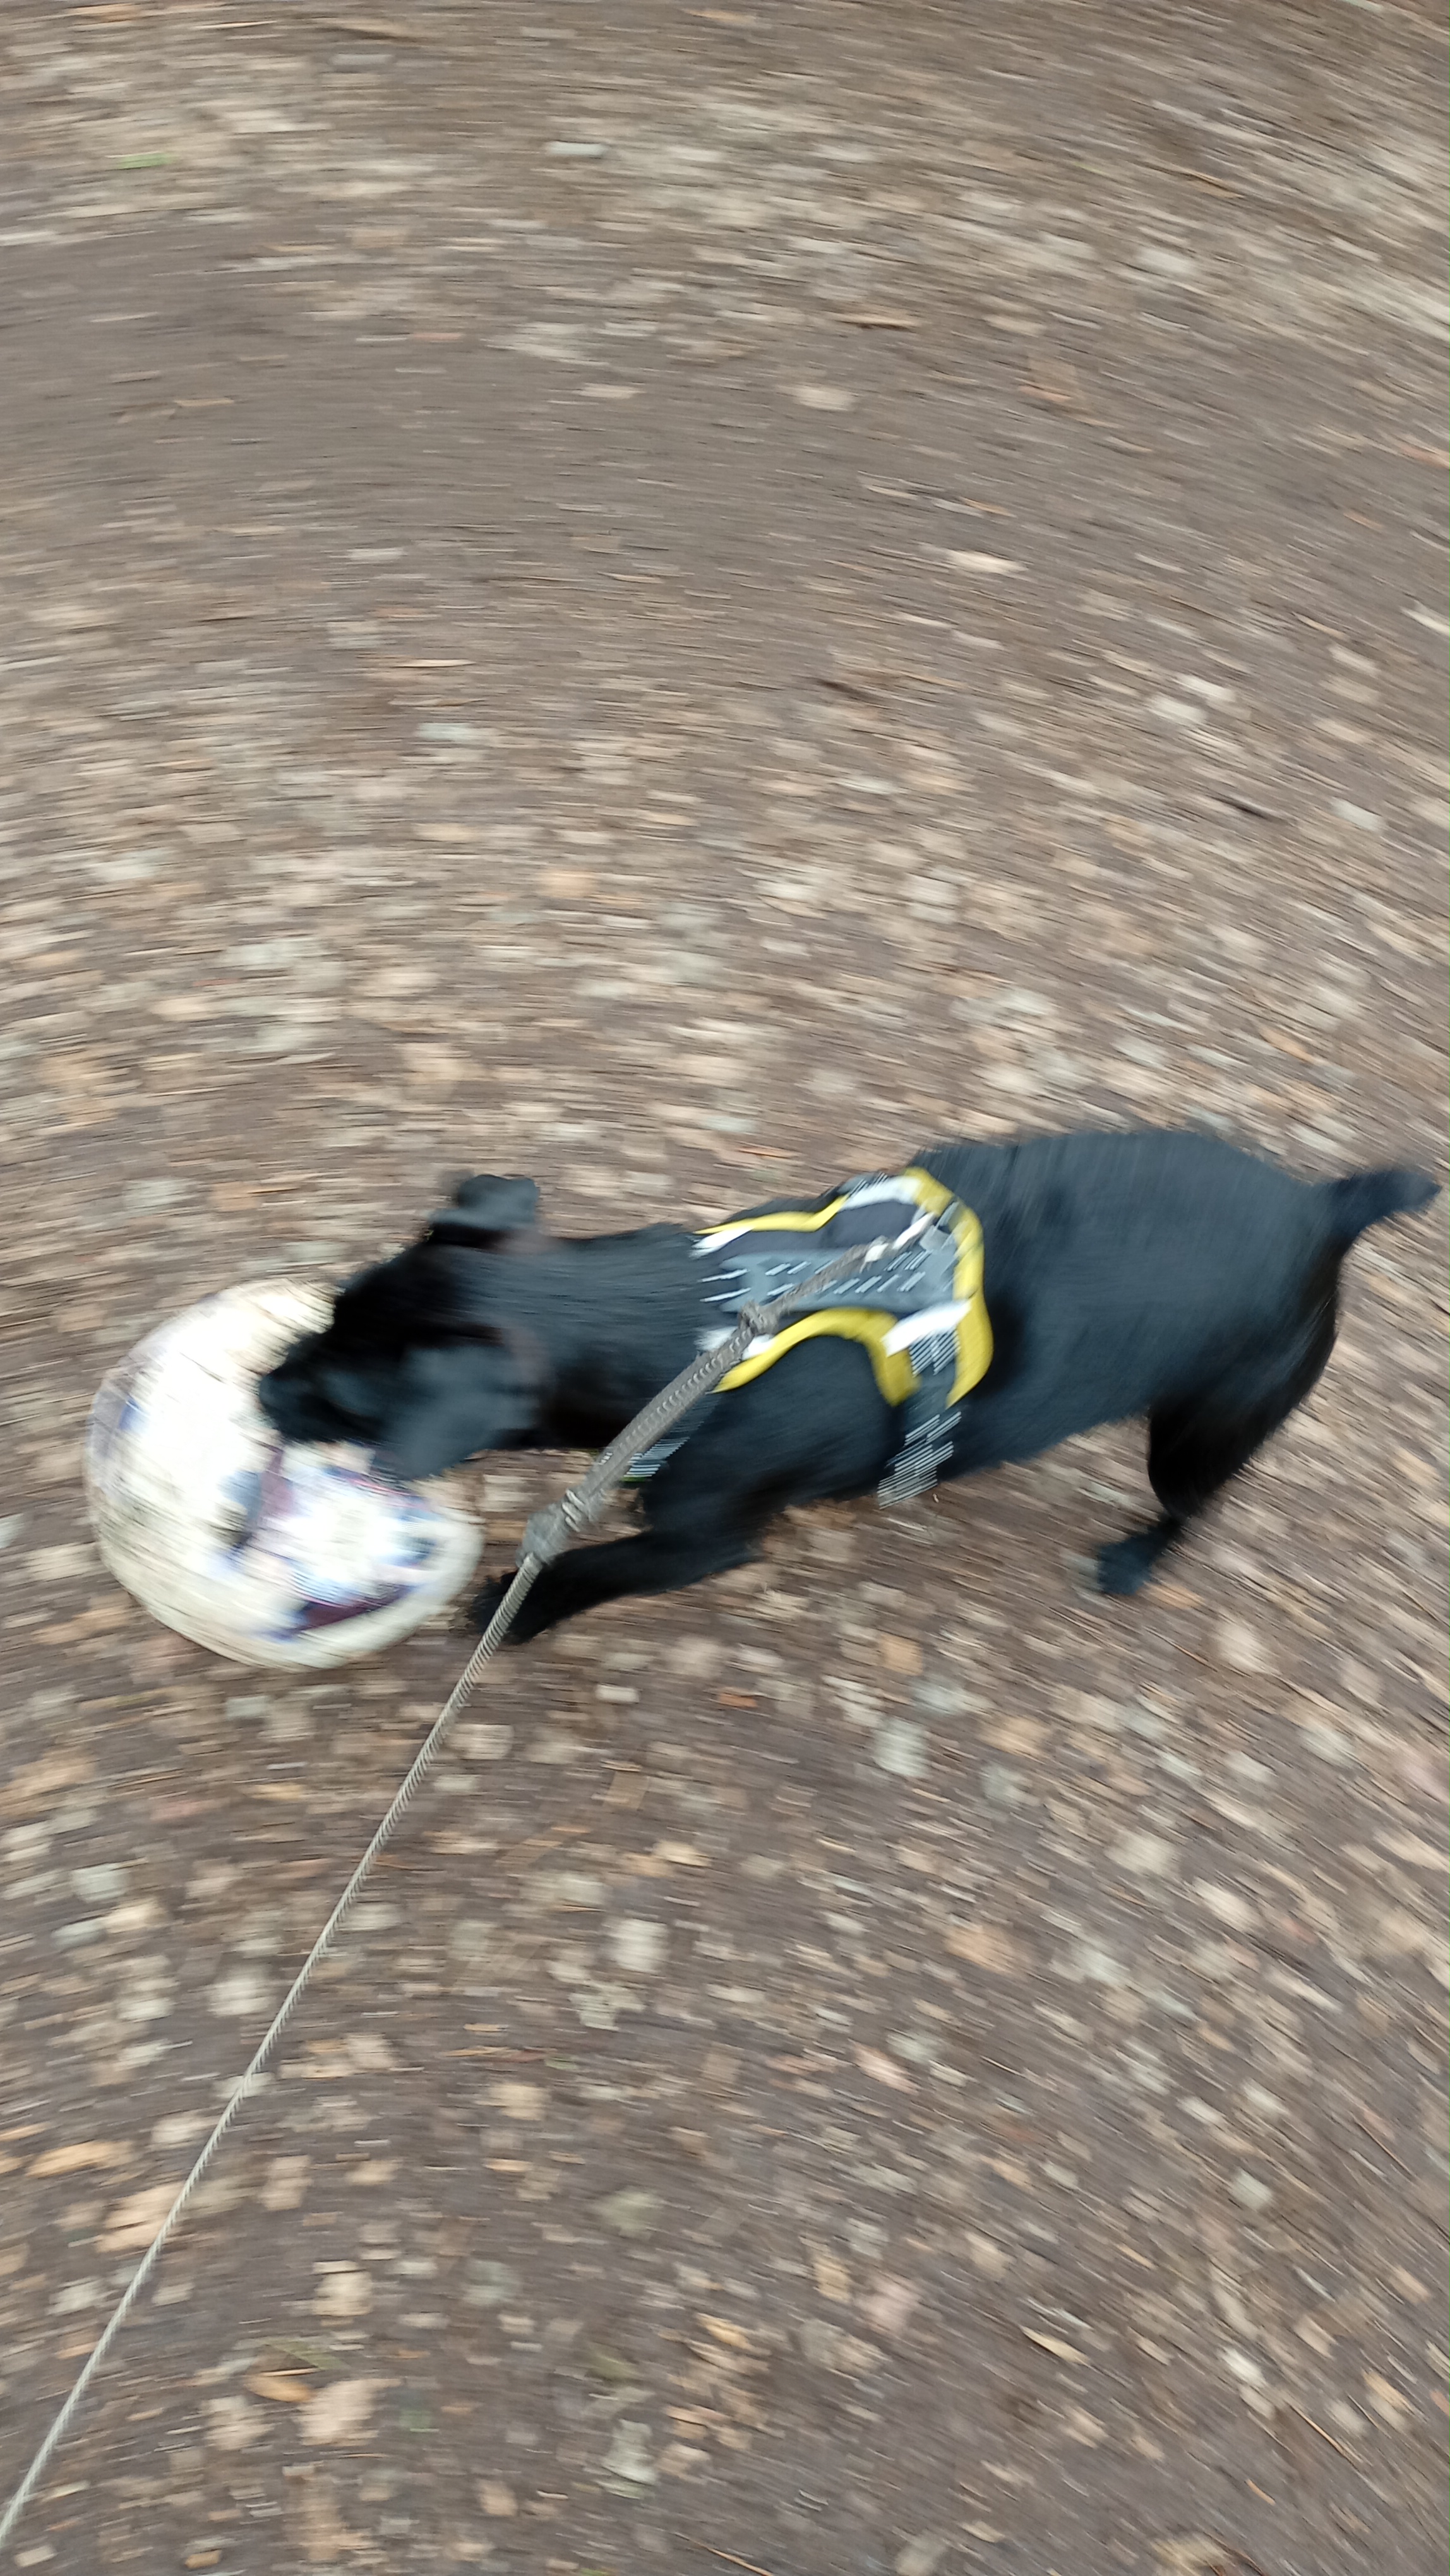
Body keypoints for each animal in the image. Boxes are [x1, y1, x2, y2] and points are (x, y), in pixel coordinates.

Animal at [257, 1129, 1437, 1641]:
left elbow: (591, 1569)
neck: (694, 1329)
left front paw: (515, 1607)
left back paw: (1136, 1563)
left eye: (349, 1401)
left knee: (1193, 1508)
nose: (262, 1391)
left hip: (1203, 1428)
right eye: (327, 1312)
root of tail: (1327, 1209)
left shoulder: (699, 1543)